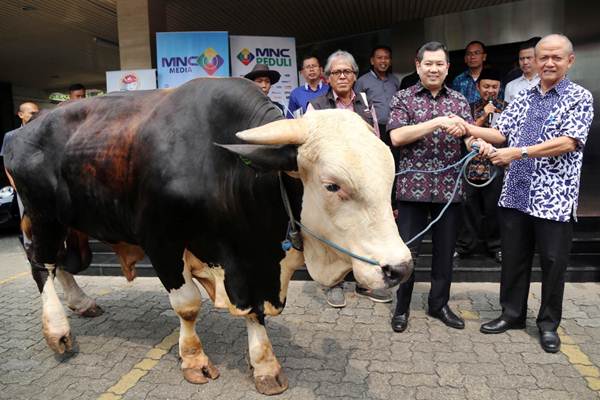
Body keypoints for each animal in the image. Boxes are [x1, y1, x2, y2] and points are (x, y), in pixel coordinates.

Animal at [4, 77, 414, 394]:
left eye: (389, 175)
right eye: (332, 185)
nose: (400, 268)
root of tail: (23, 128)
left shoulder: (250, 260)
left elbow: (256, 313)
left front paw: (265, 365)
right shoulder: (162, 242)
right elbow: (187, 305)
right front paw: (194, 359)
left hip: (69, 223)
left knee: (62, 264)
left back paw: (82, 302)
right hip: (41, 216)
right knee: (41, 265)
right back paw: (58, 332)